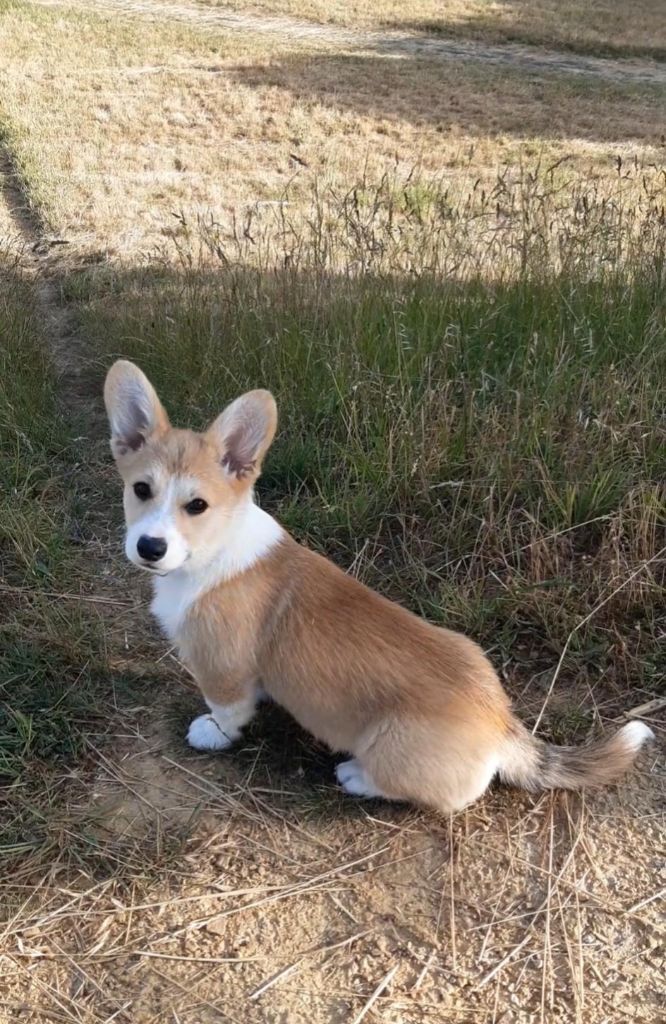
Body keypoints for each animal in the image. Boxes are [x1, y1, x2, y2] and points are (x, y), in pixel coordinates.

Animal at [105, 360, 651, 815]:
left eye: (197, 506)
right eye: (141, 490)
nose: (149, 547)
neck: (214, 551)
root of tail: (500, 722)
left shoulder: (222, 667)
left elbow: (227, 709)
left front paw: (213, 733)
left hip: (390, 749)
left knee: (441, 796)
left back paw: (356, 775)